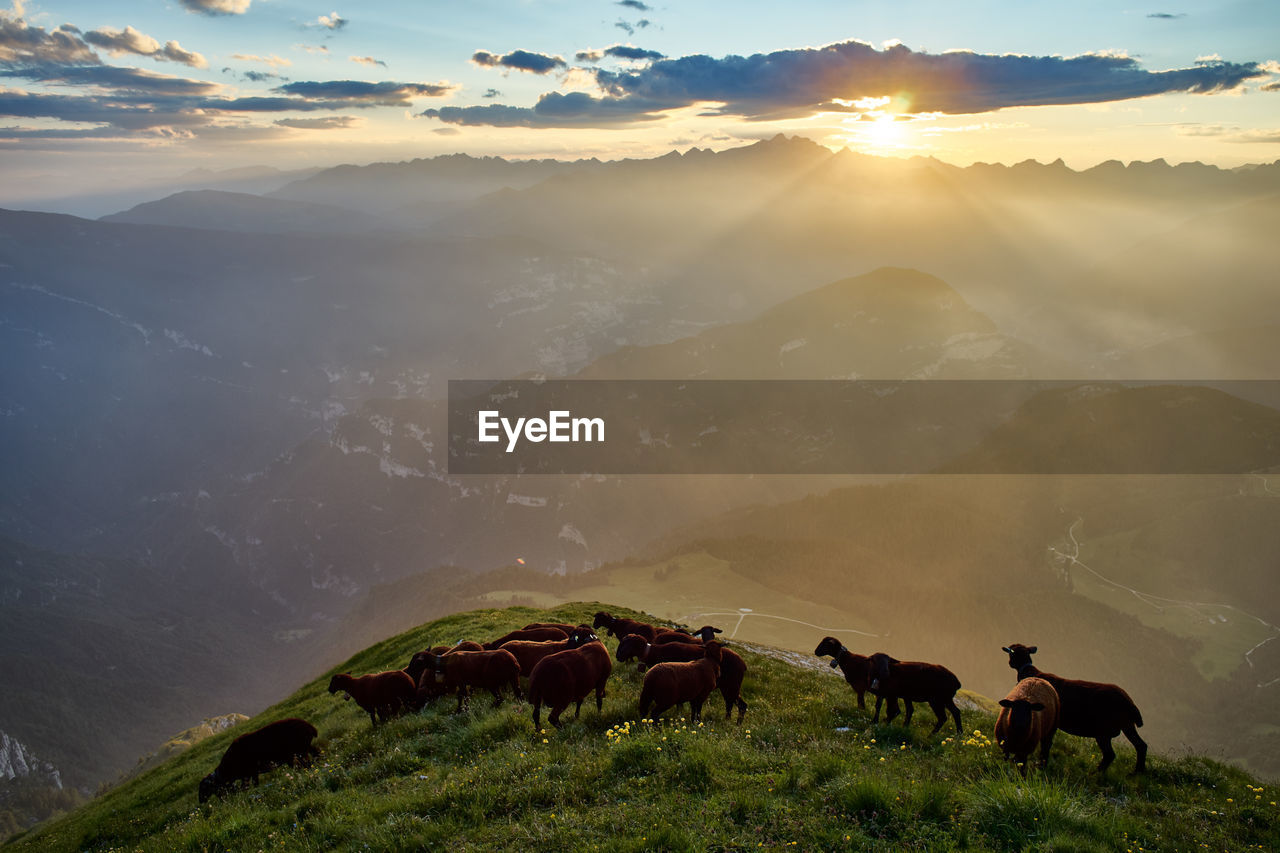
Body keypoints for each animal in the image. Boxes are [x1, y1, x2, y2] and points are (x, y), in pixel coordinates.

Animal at [611, 627, 747, 722]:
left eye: (627, 643)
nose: (618, 656)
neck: (654, 652)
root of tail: (742, 663)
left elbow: (680, 705)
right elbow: (681, 704)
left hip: (731, 686)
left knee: (738, 705)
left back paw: (734, 723)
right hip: (728, 687)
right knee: (733, 704)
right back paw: (732, 722)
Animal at [1003, 640, 1146, 773]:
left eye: (1011, 653)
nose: (1010, 663)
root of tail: (1130, 703)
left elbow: (1045, 744)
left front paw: (1041, 764)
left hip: (1103, 731)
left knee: (1110, 754)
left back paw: (1095, 773)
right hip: (1127, 725)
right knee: (1140, 745)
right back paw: (1136, 772)